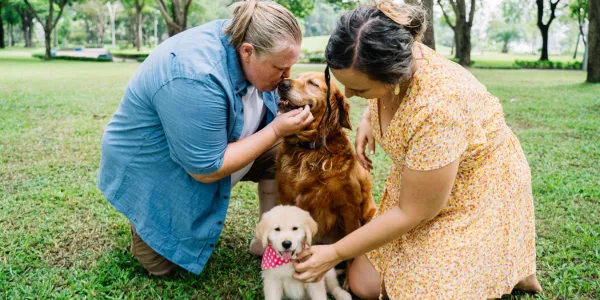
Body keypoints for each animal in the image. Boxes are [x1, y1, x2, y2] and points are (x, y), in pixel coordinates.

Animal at [276, 71, 376, 245]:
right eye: (297, 76)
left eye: (313, 84)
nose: (282, 84)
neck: (309, 149)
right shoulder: (285, 197)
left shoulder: (349, 208)